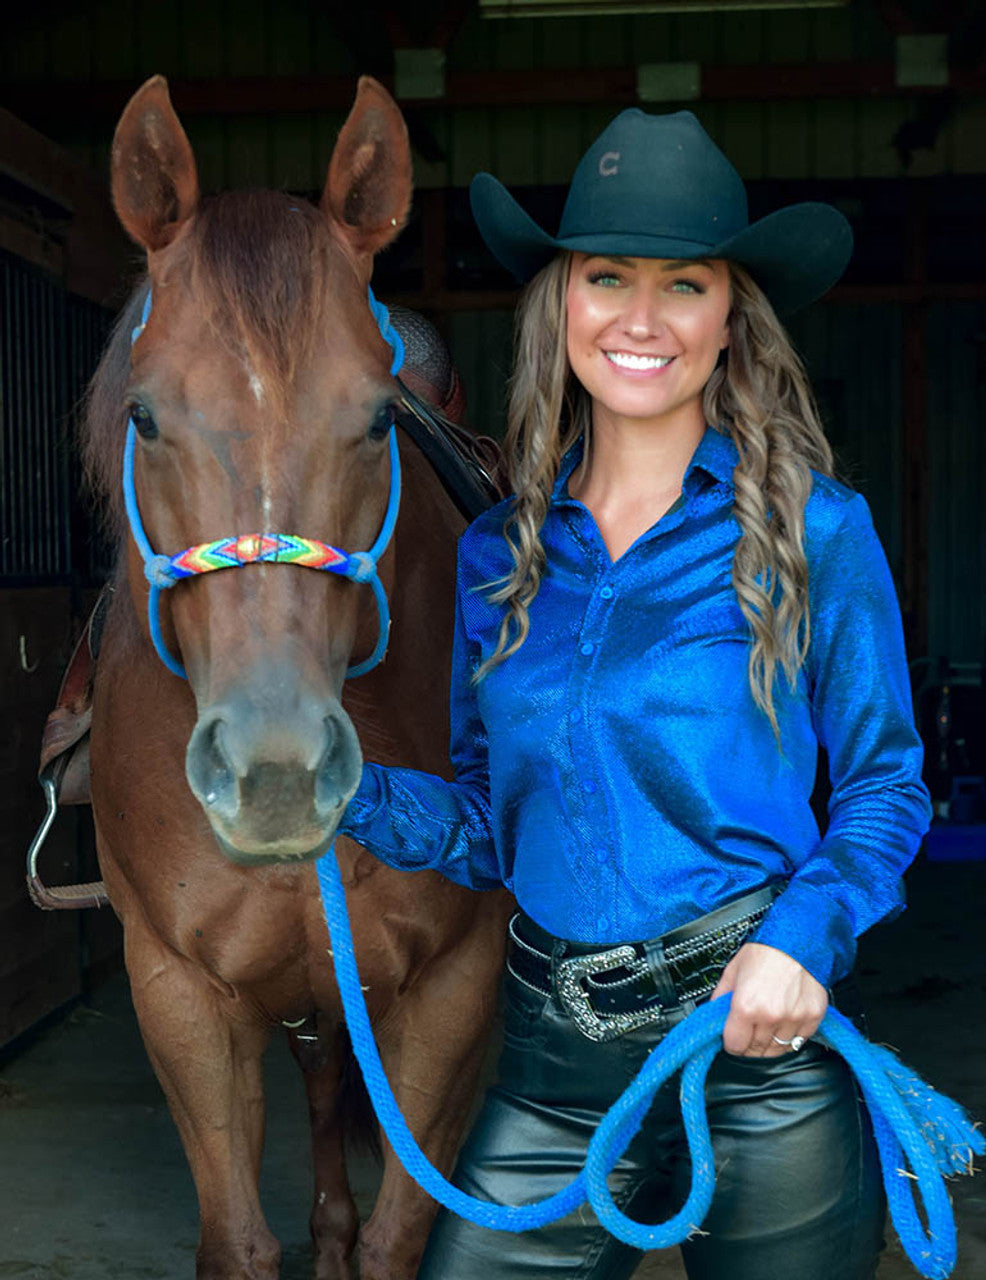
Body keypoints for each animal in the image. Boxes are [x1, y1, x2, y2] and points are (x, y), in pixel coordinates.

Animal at [83, 77, 512, 1280]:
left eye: (376, 418)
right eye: (143, 414)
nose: (274, 772)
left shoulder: (455, 992)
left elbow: (399, 1235)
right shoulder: (179, 992)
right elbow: (237, 1238)